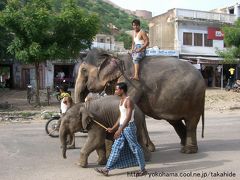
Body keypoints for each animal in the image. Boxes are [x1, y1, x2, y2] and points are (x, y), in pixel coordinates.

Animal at [74, 48, 204, 154]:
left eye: (84, 70)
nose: (84, 129)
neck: (115, 55)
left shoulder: (132, 83)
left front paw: (146, 148)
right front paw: (150, 148)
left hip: (195, 98)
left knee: (191, 122)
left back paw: (188, 150)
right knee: (175, 122)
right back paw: (183, 145)